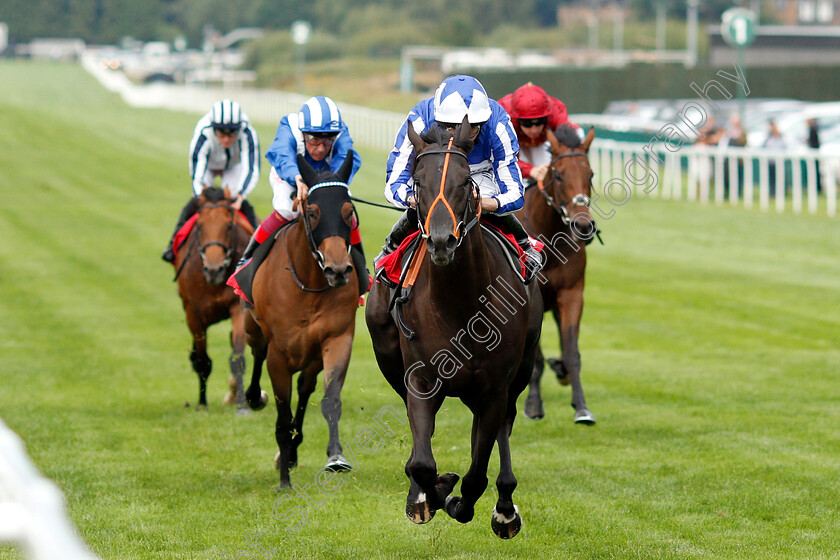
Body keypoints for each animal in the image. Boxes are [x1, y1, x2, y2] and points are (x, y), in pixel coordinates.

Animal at [174, 186, 256, 410]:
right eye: (200, 226)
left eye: (229, 226)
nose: (214, 269)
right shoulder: (194, 314)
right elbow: (202, 360)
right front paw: (202, 403)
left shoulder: (237, 307)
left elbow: (237, 357)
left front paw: (241, 405)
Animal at [243, 151, 360, 488]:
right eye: (312, 211)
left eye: (349, 212)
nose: (338, 270)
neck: (309, 284)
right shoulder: (279, 355)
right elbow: (282, 416)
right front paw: (284, 481)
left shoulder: (337, 339)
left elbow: (329, 400)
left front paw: (335, 457)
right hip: (253, 327)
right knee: (256, 353)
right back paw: (254, 397)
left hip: (311, 357)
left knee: (306, 390)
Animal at [368, 119, 544, 540]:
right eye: (418, 180)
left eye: (465, 181)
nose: (441, 240)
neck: (459, 304)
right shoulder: (420, 379)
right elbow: (422, 463)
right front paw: (429, 494)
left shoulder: (494, 388)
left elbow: (477, 474)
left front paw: (461, 500)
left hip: (520, 370)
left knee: (504, 426)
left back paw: (505, 506)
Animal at [520, 124, 600, 424]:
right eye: (558, 174)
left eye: (591, 174)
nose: (583, 226)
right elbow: (535, 356)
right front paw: (533, 404)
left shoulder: (571, 293)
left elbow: (571, 351)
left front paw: (582, 407)